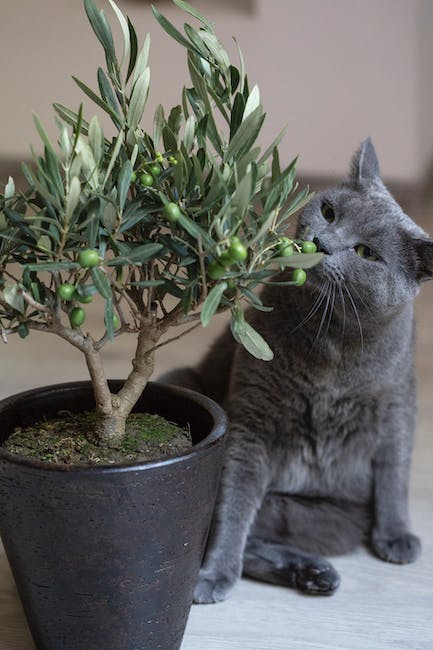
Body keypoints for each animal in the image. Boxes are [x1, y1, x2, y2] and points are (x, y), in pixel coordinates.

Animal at [161, 140, 428, 604]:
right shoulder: (251, 421)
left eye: (366, 253)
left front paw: (396, 536)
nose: (321, 241)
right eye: (329, 211)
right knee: (225, 530)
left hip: (332, 519)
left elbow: (395, 471)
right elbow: (232, 508)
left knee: (268, 531)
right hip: (183, 382)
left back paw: (315, 573)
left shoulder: (398, 405)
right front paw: (215, 573)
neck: (332, 341)